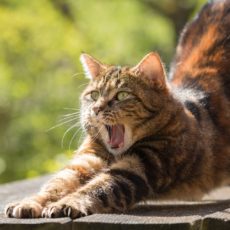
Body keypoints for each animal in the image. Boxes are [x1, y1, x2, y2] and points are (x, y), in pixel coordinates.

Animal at [4, 0, 230, 218]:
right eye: (94, 95)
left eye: (121, 95)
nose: (96, 109)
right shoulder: (87, 159)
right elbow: (57, 183)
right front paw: (29, 202)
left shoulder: (141, 166)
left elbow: (98, 187)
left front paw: (67, 203)